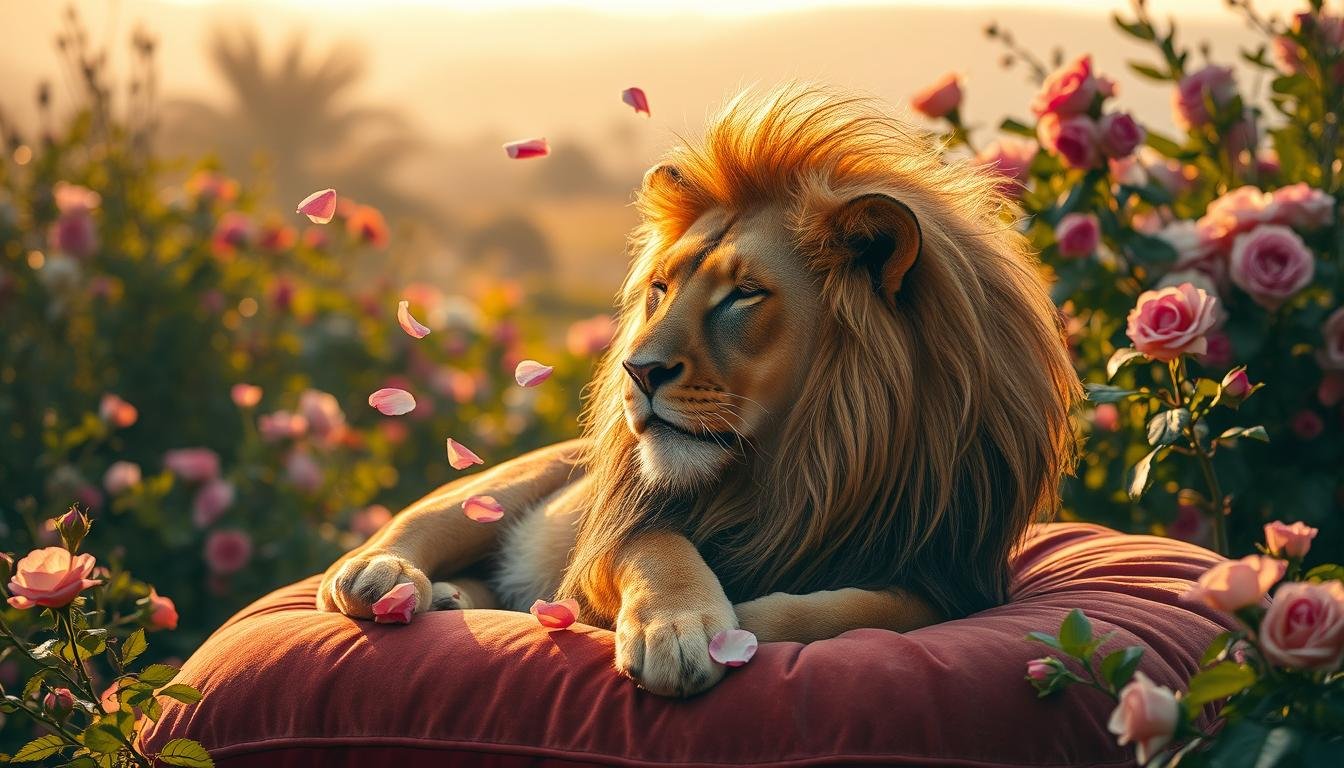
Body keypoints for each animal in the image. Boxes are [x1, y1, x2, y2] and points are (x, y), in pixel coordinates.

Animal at [319, 84, 1081, 697]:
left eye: (743, 295)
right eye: (661, 288)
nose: (637, 370)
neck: (803, 467)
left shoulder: (953, 576)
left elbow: (883, 608)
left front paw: (752, 618)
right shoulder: (617, 535)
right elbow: (658, 547)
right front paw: (680, 630)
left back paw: (451, 598)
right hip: (508, 484)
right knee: (415, 527)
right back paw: (385, 578)